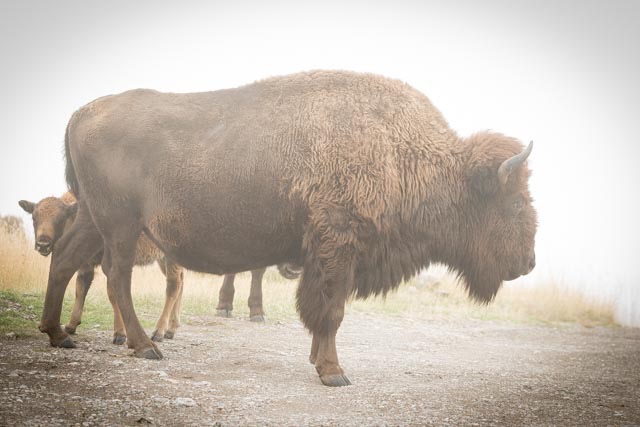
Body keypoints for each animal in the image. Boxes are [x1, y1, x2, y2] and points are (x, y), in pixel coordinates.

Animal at [40, 70, 537, 387]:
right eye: (514, 203)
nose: (529, 262)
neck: (403, 153)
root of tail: (81, 112)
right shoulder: (338, 245)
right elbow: (331, 311)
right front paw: (334, 373)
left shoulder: (328, 253)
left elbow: (321, 312)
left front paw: (320, 362)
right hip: (120, 224)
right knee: (116, 277)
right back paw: (144, 346)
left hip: (92, 218)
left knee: (64, 261)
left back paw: (59, 335)